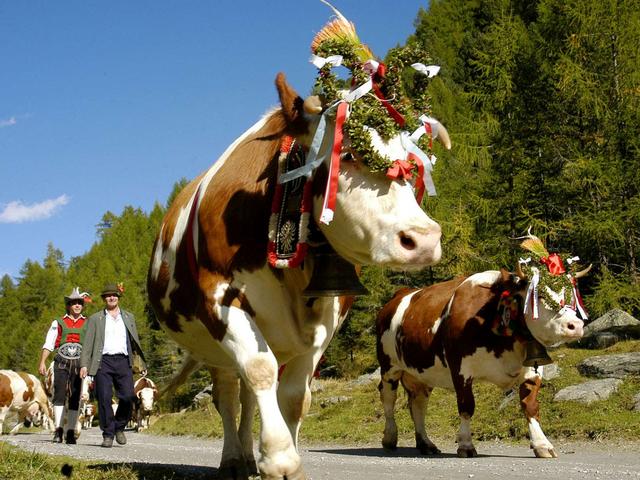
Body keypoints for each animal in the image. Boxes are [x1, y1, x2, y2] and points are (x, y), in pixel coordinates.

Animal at [149, 68, 444, 480]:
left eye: (412, 163)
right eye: (348, 153)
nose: (424, 238)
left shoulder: (329, 314)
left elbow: (293, 396)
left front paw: (282, 457)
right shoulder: (219, 298)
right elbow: (259, 371)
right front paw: (279, 458)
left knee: (247, 398)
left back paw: (248, 457)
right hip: (213, 349)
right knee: (229, 396)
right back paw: (234, 460)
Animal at [378, 264, 588, 460]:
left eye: (572, 297)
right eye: (540, 296)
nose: (575, 325)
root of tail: (400, 293)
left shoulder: (532, 369)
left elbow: (530, 406)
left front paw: (542, 445)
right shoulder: (460, 369)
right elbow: (466, 406)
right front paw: (466, 445)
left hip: (420, 374)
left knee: (418, 404)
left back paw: (426, 444)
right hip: (389, 366)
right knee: (388, 397)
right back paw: (389, 438)